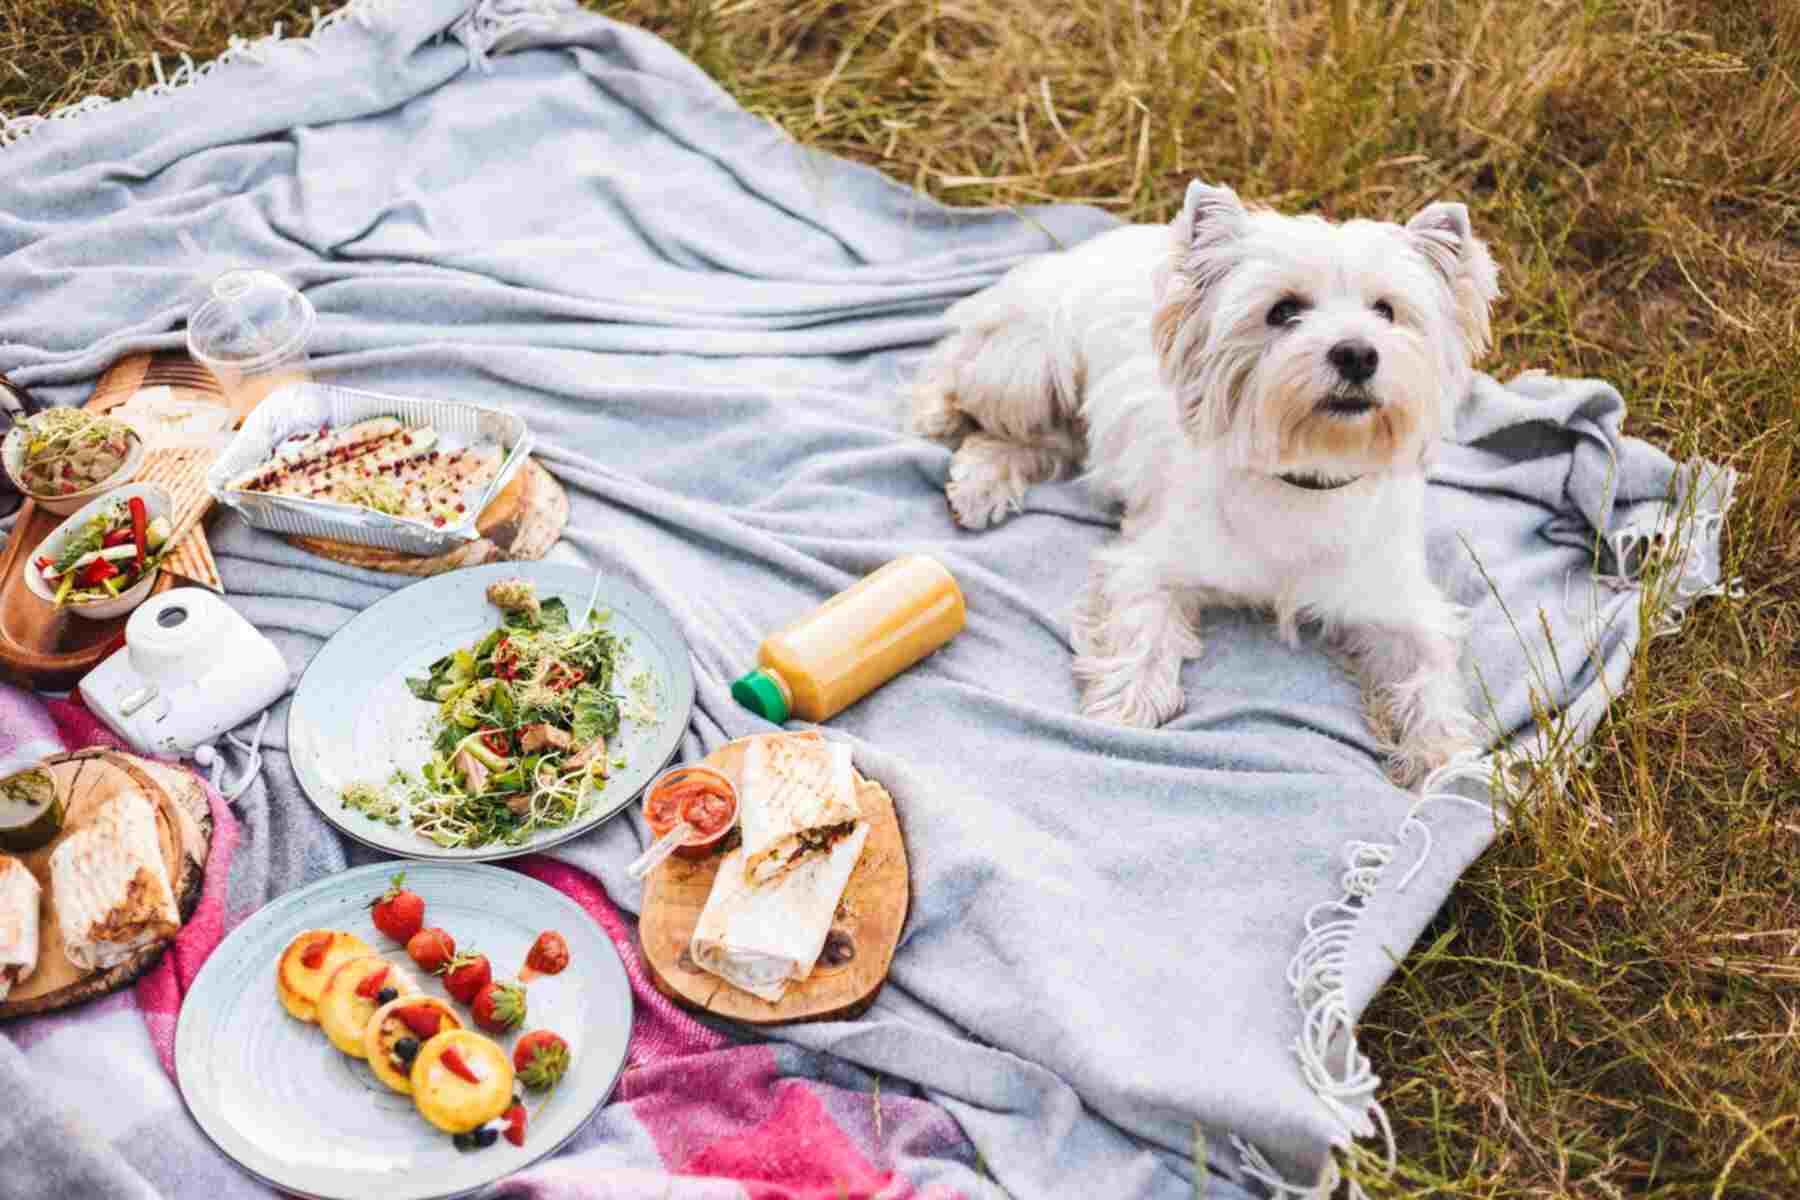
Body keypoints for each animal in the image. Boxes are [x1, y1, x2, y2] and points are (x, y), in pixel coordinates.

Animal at [907, 176, 1497, 780]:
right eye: (1284, 311)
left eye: (1386, 310)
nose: (1356, 353)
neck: (1305, 478)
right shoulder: (1152, 561)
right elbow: (1141, 632)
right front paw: (1123, 712)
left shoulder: (1398, 603)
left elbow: (1428, 673)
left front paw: (1444, 759)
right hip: (1030, 365)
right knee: (965, 381)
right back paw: (950, 436)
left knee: (1040, 442)